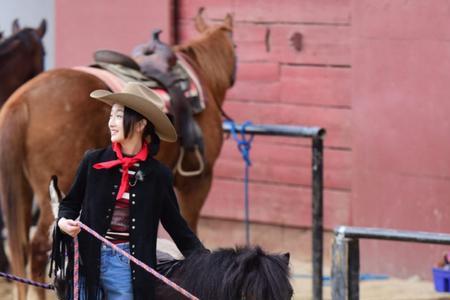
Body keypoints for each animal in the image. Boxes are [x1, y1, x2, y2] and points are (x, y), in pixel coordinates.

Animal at [0, 9, 236, 300]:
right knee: (39, 247)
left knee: (22, 246)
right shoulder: (198, 182)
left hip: (22, 188)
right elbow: (189, 225)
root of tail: (22, 100)